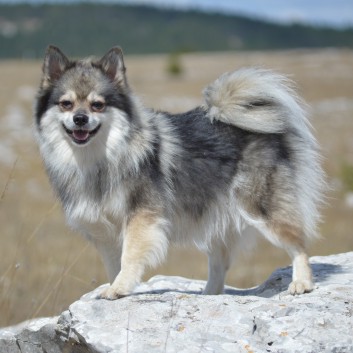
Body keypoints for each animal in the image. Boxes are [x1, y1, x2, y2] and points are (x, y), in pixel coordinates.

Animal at [34, 45, 324, 298]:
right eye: (66, 104)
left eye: (98, 105)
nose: (80, 119)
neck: (99, 159)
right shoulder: (103, 232)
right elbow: (114, 264)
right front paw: (116, 285)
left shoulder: (141, 217)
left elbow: (130, 256)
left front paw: (119, 288)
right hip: (217, 219)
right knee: (220, 262)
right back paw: (209, 295)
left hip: (262, 209)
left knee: (298, 244)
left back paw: (301, 282)